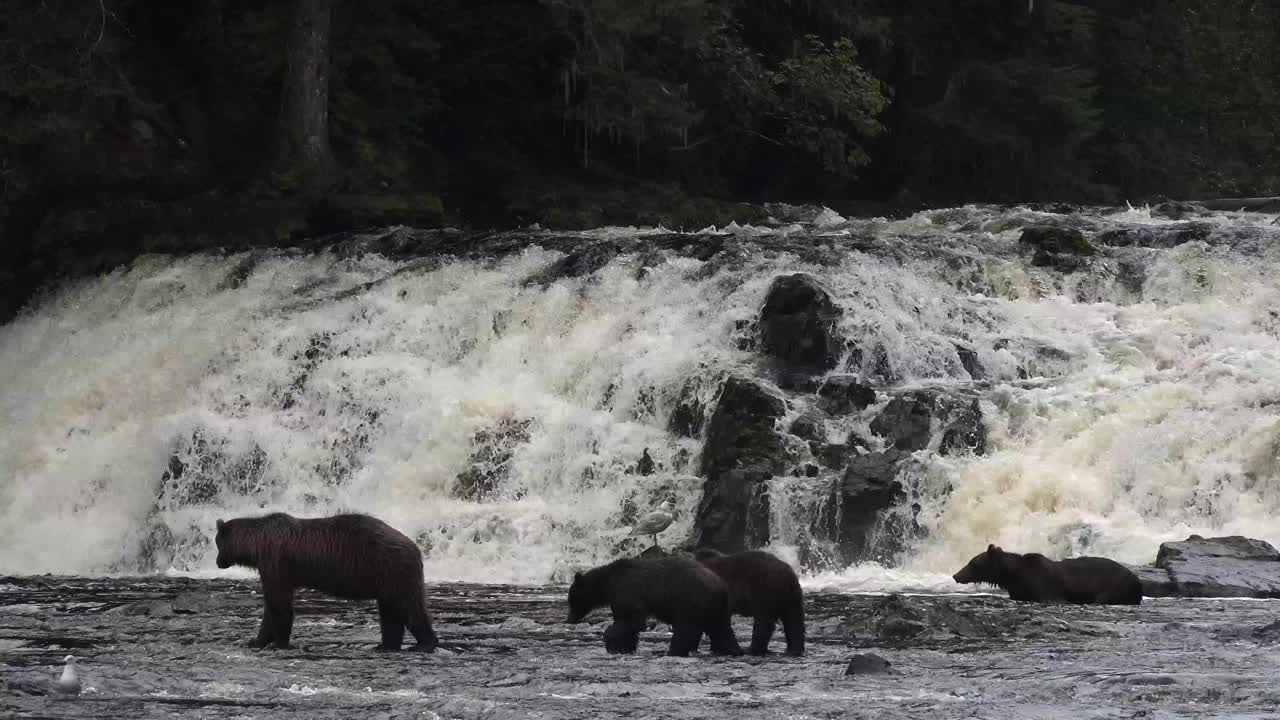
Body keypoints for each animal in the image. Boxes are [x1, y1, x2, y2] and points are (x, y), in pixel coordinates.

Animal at [215, 509, 440, 650]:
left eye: (217, 543)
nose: (217, 562)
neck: (256, 544)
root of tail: (416, 547)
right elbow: (276, 603)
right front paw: (259, 640)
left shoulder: (275, 562)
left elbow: (278, 605)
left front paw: (270, 641)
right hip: (387, 580)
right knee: (391, 613)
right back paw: (385, 645)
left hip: (392, 569)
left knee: (410, 607)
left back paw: (425, 643)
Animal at [568, 550, 747, 653]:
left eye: (571, 599)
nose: (569, 619)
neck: (607, 584)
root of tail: (720, 586)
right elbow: (626, 622)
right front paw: (624, 646)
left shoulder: (626, 590)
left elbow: (631, 619)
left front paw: (611, 642)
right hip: (718, 609)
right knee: (722, 631)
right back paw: (733, 650)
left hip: (692, 602)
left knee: (685, 631)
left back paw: (675, 651)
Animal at [952, 540, 1141, 602]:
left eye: (972, 563)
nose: (955, 575)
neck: (1014, 577)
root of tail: (1137, 581)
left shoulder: (1046, 588)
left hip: (1111, 588)